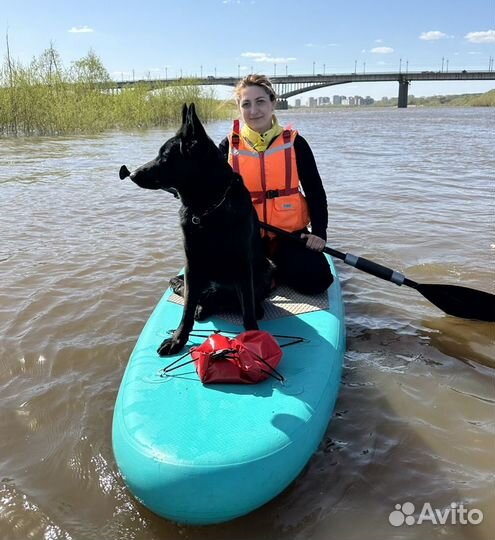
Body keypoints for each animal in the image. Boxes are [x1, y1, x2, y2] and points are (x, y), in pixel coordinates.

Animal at [121, 103, 274, 356]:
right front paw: (178, 339)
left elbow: (248, 312)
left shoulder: (242, 265)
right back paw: (202, 307)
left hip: (266, 269)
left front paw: (253, 338)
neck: (207, 208)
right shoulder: (191, 264)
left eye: (164, 156)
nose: (131, 174)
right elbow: (186, 310)